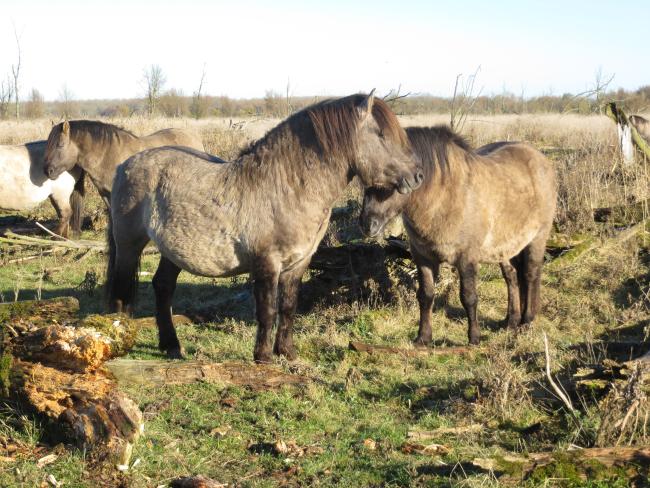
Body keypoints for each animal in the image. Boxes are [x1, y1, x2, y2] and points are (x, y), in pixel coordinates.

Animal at [107, 93, 420, 362]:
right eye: (381, 135)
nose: (417, 176)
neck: (285, 187)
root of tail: (124, 165)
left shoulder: (298, 264)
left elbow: (288, 307)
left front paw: (287, 353)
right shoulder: (267, 263)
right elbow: (267, 310)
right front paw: (263, 357)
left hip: (173, 252)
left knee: (162, 287)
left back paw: (172, 346)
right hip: (129, 245)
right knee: (121, 290)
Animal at [356, 127, 556, 346]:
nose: (368, 224)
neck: (443, 197)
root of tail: (539, 158)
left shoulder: (466, 258)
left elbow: (468, 297)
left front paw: (474, 338)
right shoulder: (423, 258)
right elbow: (425, 295)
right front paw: (423, 338)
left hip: (537, 238)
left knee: (530, 274)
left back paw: (526, 322)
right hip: (506, 246)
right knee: (512, 277)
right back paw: (510, 322)